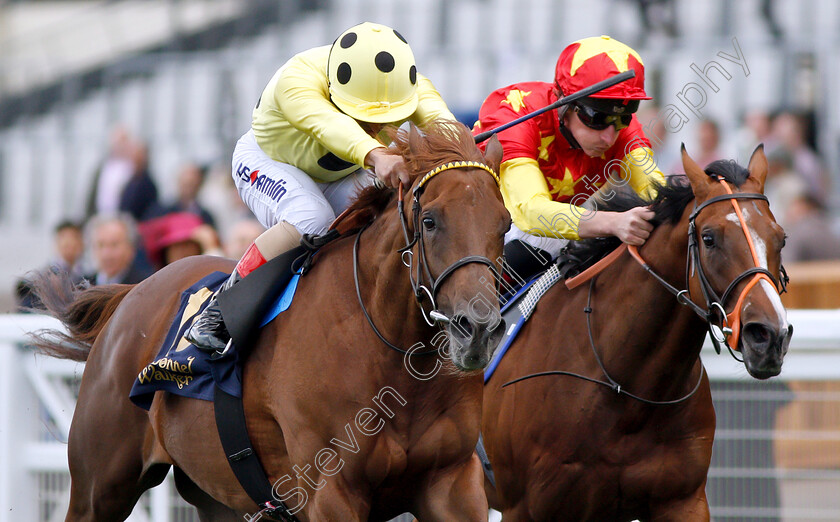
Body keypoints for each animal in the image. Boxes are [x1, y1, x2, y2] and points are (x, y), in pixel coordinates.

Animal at [29, 123, 512, 520]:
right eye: (429, 221)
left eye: (505, 224)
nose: (478, 330)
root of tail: (130, 295)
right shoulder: (330, 490)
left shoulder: (453, 481)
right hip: (100, 485)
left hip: (218, 497)